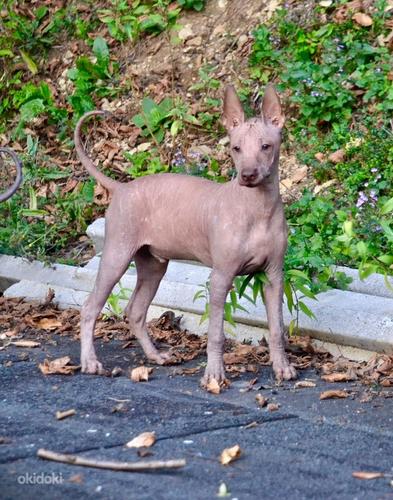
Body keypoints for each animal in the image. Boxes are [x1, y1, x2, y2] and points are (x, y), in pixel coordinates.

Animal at [75, 85, 298, 382]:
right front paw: (214, 374)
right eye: (236, 148)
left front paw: (281, 366)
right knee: (90, 307)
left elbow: (277, 328)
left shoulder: (273, 276)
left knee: (135, 311)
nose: (248, 175)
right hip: (116, 255)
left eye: (266, 146)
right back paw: (90, 361)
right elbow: (216, 333)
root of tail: (121, 188)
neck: (257, 208)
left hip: (153, 265)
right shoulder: (220, 277)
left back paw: (155, 356)